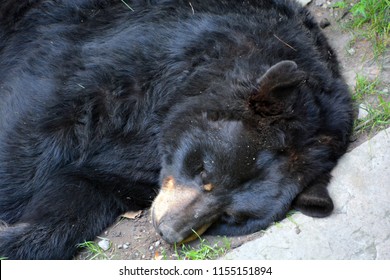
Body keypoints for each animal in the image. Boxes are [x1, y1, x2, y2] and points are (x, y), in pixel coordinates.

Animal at [0, 0, 354, 260]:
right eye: (204, 169)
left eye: (230, 217)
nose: (167, 230)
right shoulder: (122, 54)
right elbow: (29, 130)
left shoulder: (129, 169)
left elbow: (84, 192)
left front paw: (16, 238)